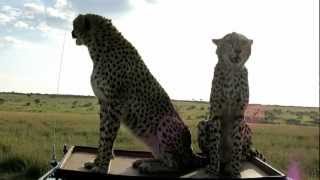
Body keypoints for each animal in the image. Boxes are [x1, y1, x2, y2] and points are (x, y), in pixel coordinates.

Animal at [71, 14, 205, 174]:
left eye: (74, 25)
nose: (71, 33)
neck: (97, 50)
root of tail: (192, 152)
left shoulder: (115, 104)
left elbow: (108, 138)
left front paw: (102, 167)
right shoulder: (104, 103)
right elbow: (102, 136)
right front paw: (96, 162)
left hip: (167, 122)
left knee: (177, 164)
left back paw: (149, 166)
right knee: (165, 158)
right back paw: (143, 161)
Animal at [198, 32, 264, 177]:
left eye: (243, 42)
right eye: (230, 42)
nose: (238, 50)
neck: (232, 70)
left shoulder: (239, 115)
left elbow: (237, 144)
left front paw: (234, 169)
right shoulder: (215, 114)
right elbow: (214, 144)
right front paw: (213, 168)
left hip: (247, 126)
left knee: (245, 153)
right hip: (203, 123)